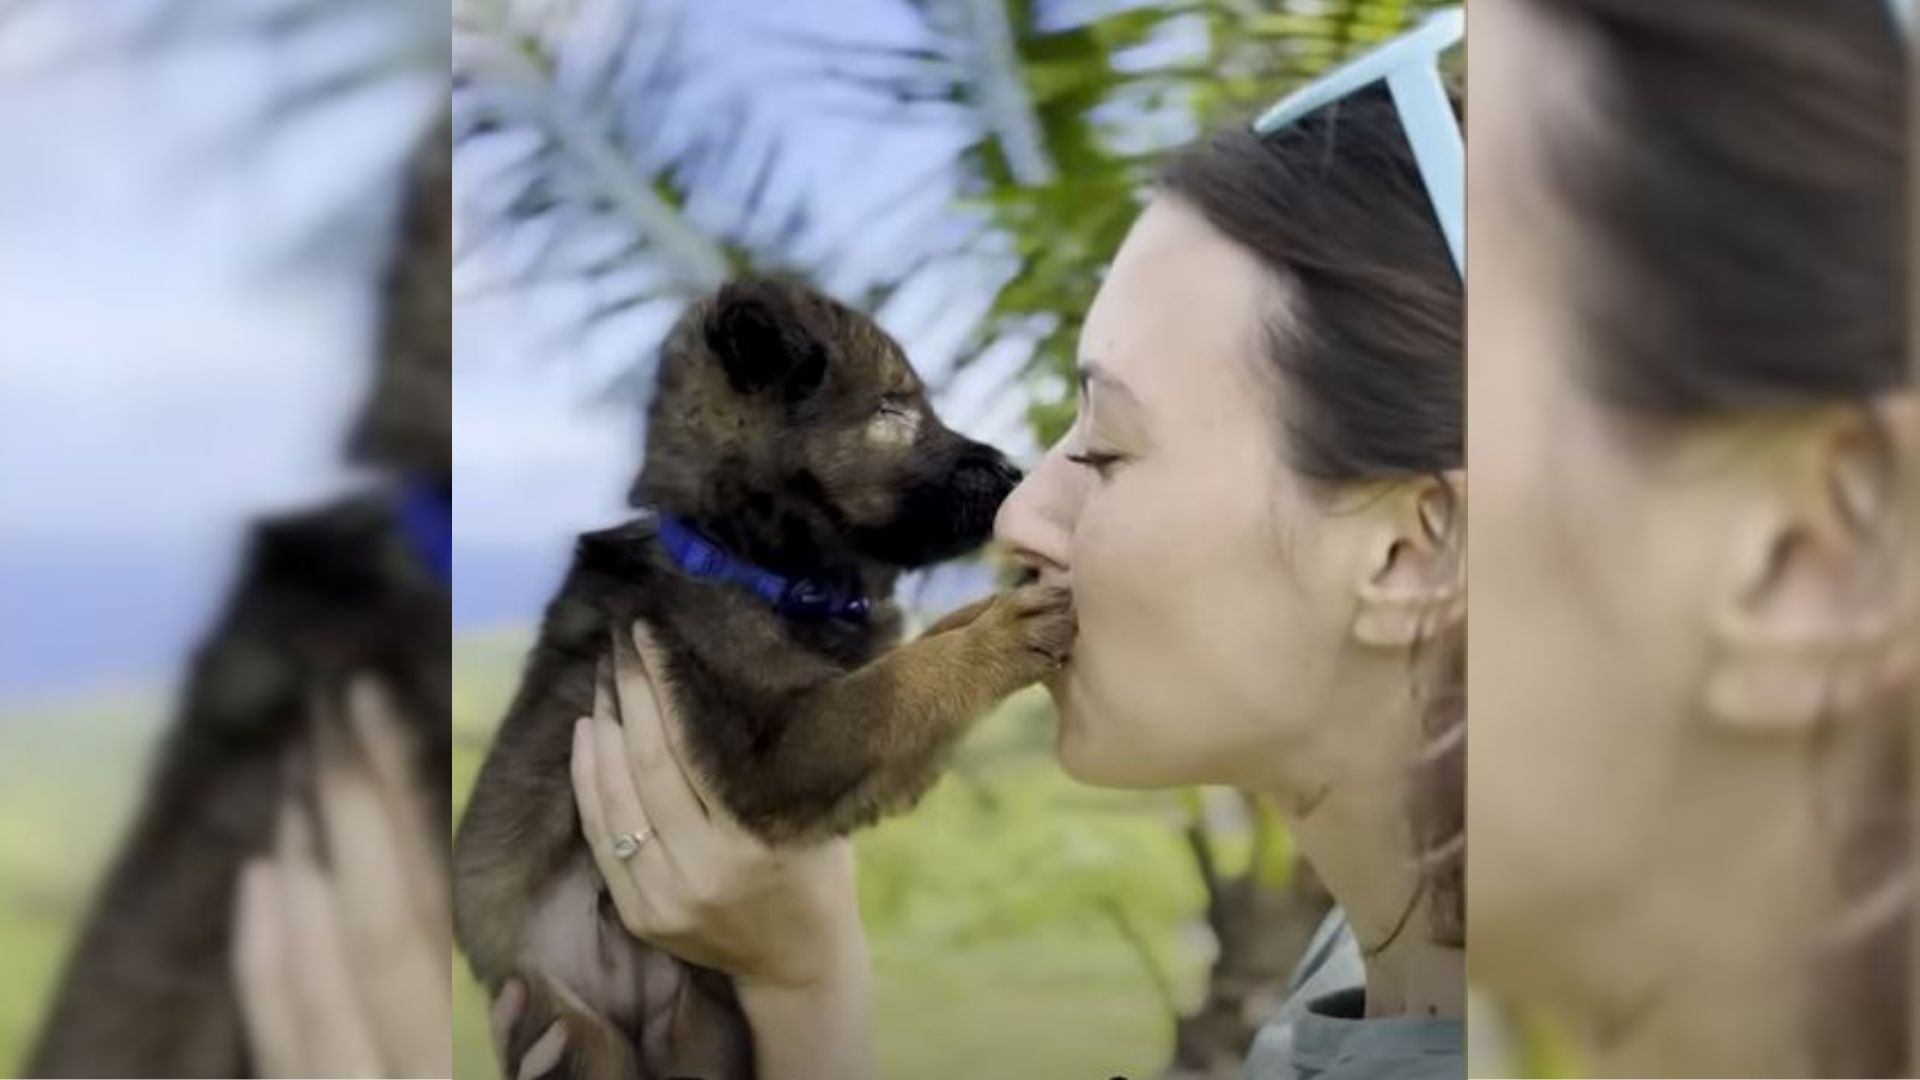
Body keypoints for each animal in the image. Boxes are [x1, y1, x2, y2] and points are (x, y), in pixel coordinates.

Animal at [453, 276, 1082, 1076]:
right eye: (892, 409)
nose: (1014, 474)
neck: (750, 559)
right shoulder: (776, 747)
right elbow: (903, 681)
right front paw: (1002, 634)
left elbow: (921, 649)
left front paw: (1000, 604)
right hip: (579, 1033)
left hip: (703, 1025)